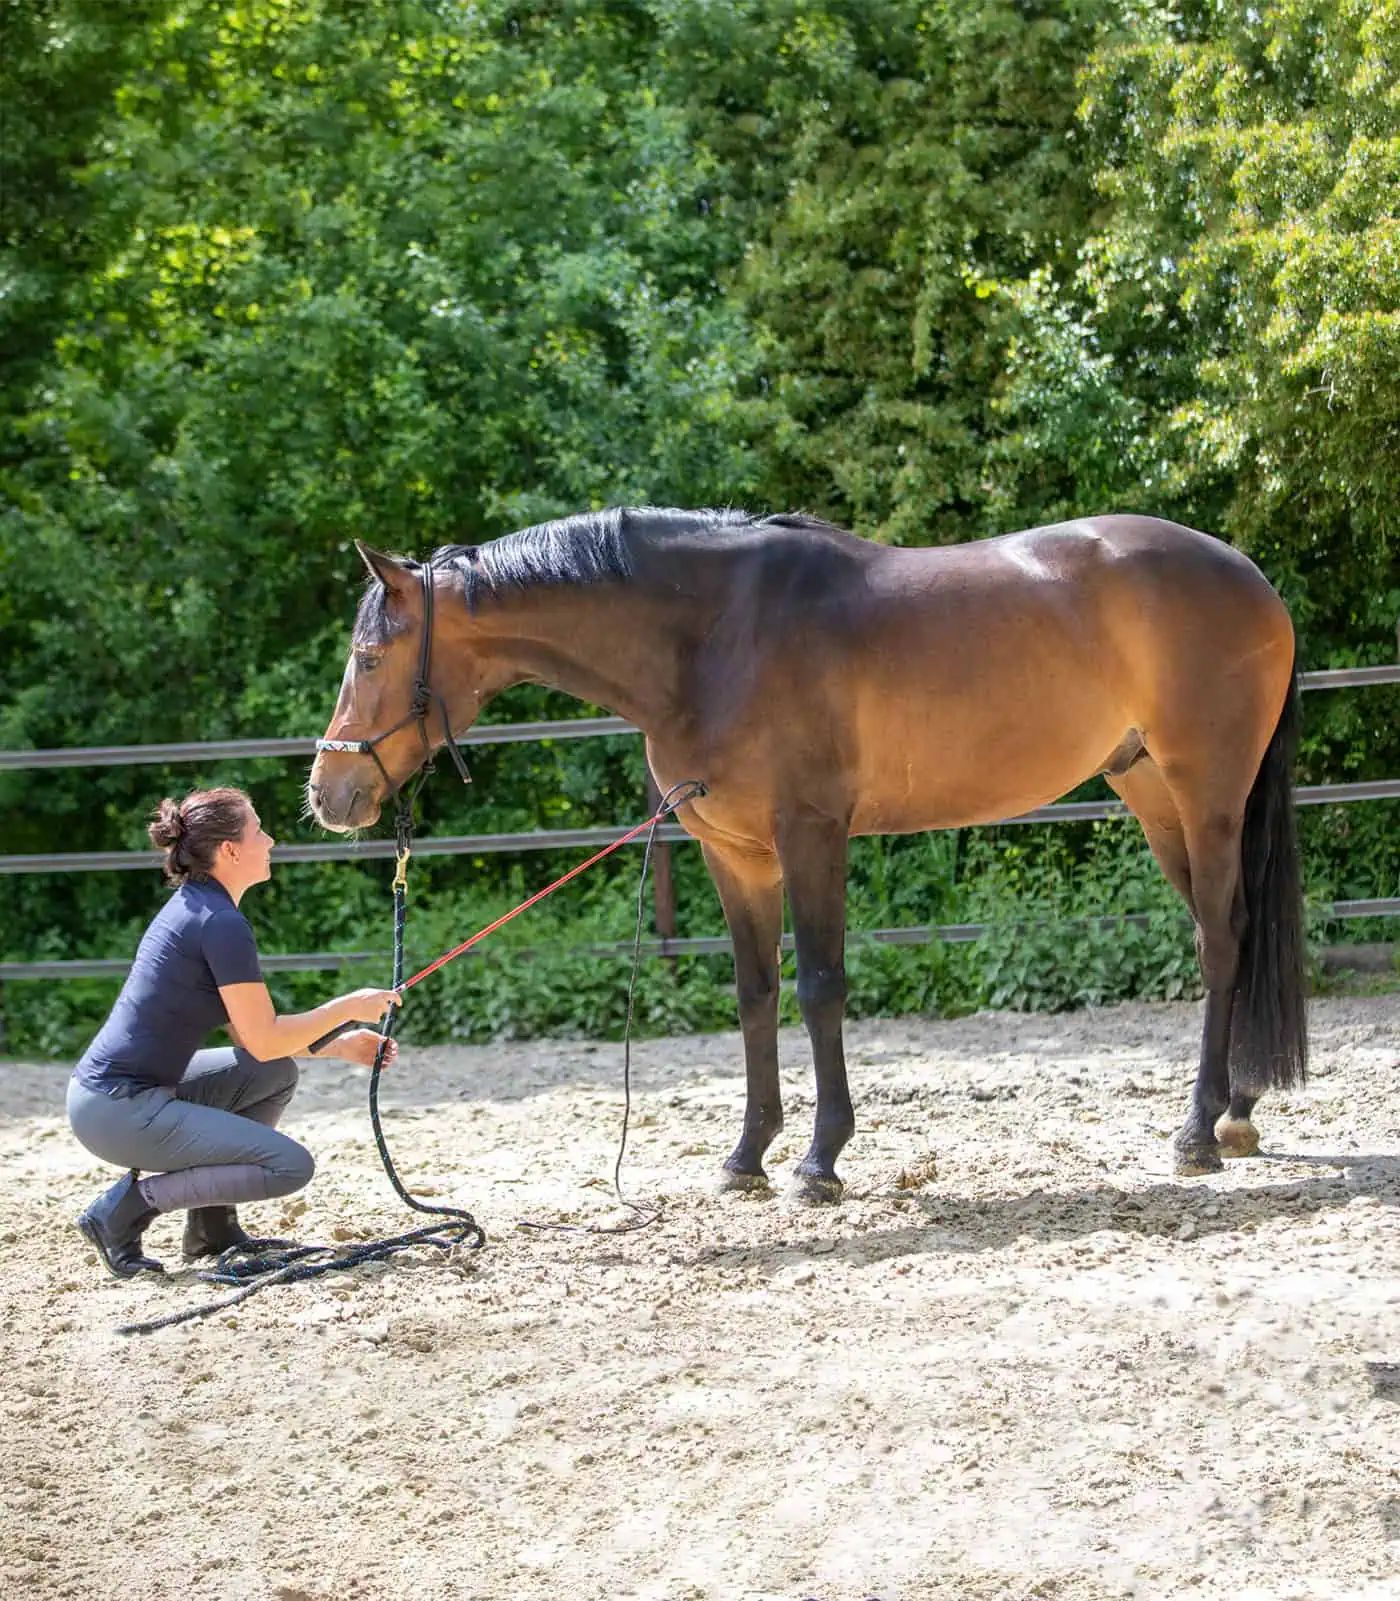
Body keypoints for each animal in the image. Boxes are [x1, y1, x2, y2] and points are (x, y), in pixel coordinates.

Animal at [307, 507, 1306, 1201]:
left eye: (369, 656)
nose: (327, 793)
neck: (713, 637)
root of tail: (1252, 576)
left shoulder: (813, 832)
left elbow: (823, 985)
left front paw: (821, 1159)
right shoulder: (736, 853)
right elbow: (757, 993)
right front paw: (747, 1154)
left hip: (1206, 794)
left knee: (1221, 939)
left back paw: (1198, 1133)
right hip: (1151, 794)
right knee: (1228, 930)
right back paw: (1237, 1111)